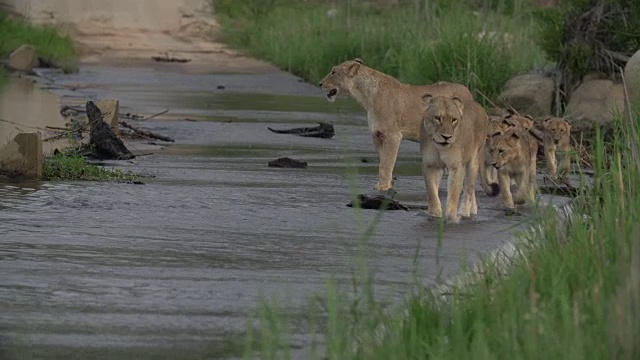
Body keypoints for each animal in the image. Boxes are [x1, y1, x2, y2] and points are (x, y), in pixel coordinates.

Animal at [318, 58, 472, 193]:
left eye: (333, 72)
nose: (320, 83)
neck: (366, 96)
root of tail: (467, 91)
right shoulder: (377, 135)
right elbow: (383, 161)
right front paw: (388, 183)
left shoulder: (393, 135)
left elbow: (386, 163)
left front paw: (383, 187)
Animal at [420, 93, 490, 222]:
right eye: (437, 118)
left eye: (454, 120)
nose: (446, 137)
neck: (438, 147)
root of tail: (479, 106)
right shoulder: (430, 165)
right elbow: (432, 191)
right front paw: (434, 214)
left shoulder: (456, 166)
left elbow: (453, 193)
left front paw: (451, 217)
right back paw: (473, 210)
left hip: (473, 161)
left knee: (469, 188)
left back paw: (464, 212)